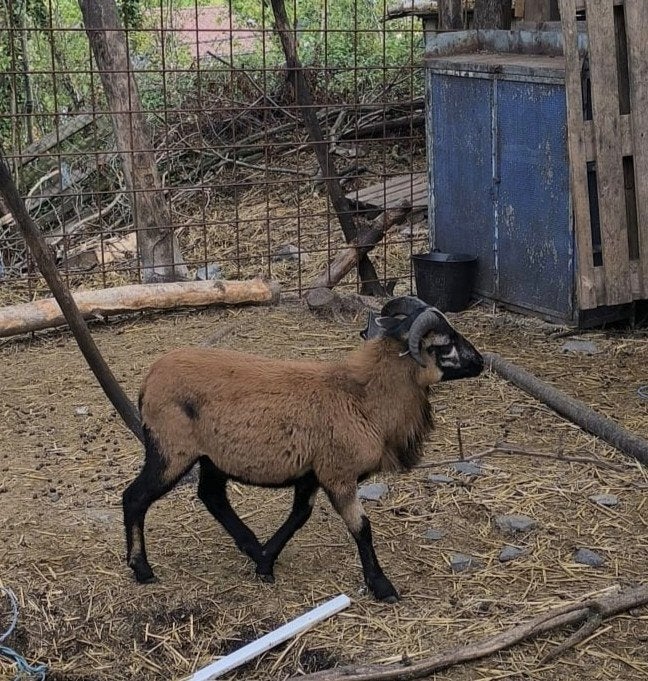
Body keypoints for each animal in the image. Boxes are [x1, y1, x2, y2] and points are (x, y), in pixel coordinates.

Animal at [123, 296, 483, 602]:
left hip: (213, 457)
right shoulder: (338, 475)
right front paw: (382, 587)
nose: (480, 361)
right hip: (171, 451)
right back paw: (142, 569)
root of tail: (149, 379)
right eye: (445, 344)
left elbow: (299, 516)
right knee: (135, 497)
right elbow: (362, 529)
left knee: (212, 496)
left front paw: (265, 562)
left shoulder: (311, 474)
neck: (363, 399)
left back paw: (250, 546)